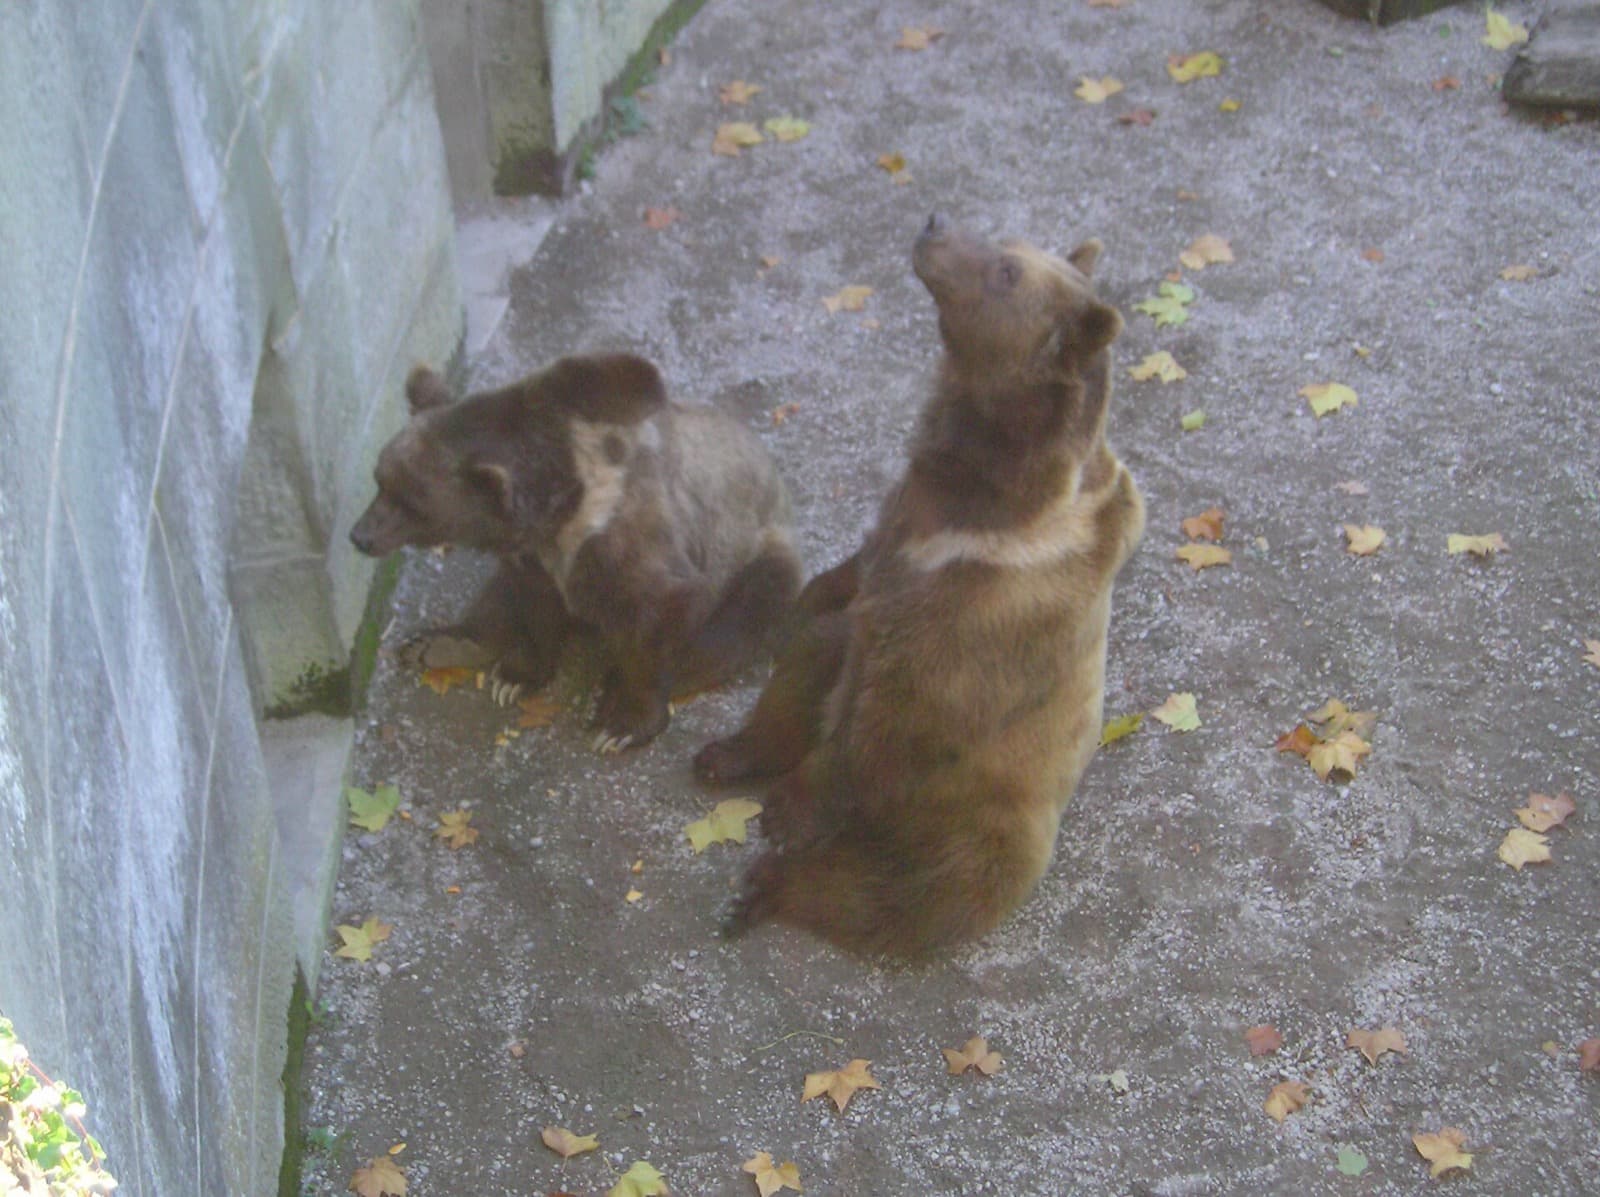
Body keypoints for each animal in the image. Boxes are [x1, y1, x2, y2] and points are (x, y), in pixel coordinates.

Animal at [350, 352, 802, 752]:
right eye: (379, 480)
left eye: (411, 503)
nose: (360, 536)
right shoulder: (534, 560)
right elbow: (532, 606)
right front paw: (515, 675)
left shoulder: (637, 545)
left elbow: (664, 615)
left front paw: (622, 724)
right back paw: (436, 645)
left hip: (761, 555)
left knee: (741, 621)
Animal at [693, 214, 1145, 957]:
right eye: (1008, 244)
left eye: (1006, 272)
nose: (935, 226)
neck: (988, 497)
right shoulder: (908, 524)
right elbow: (837, 600)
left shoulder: (983, 614)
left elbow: (896, 720)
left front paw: (789, 811)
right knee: (813, 660)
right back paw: (728, 753)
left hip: (986, 827)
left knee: (909, 891)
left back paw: (768, 885)